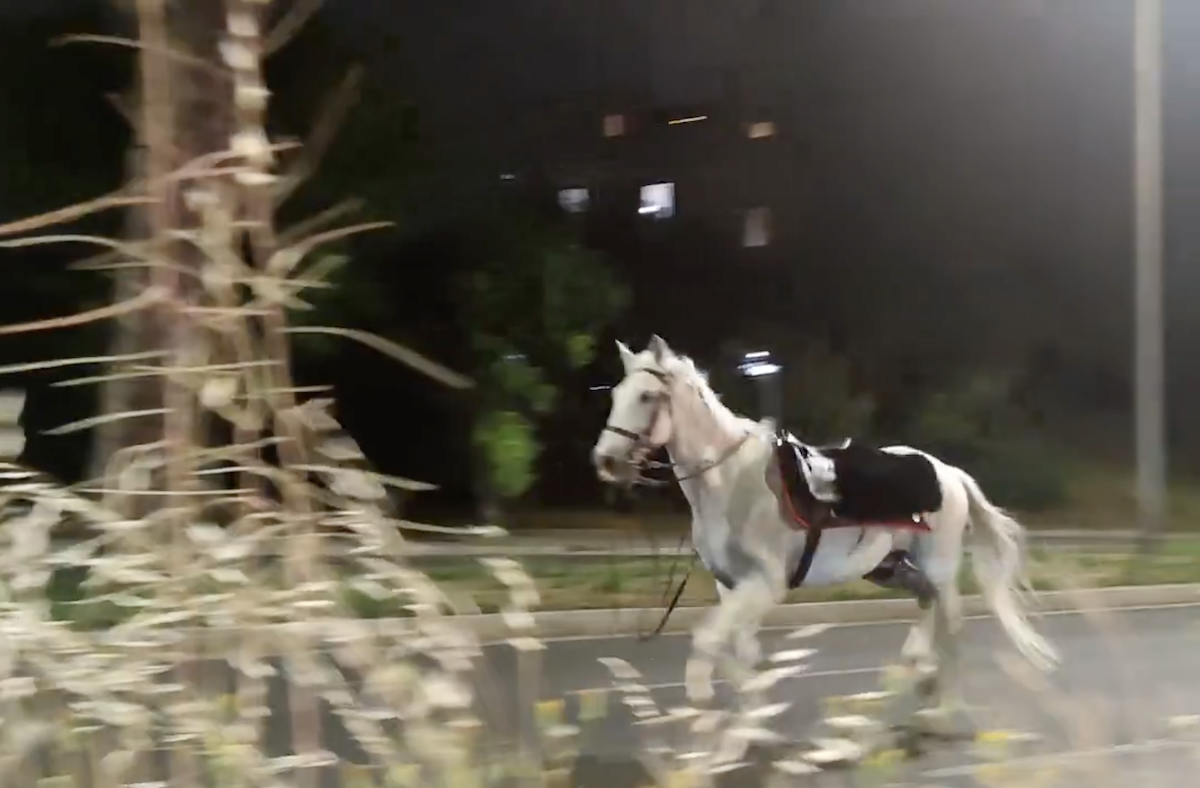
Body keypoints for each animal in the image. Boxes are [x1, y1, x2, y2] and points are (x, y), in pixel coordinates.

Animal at [590, 334, 1058, 730]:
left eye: (647, 396)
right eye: (615, 395)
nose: (605, 461)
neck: (732, 481)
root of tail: (948, 472)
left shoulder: (765, 584)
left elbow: (707, 642)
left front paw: (705, 701)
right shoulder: (733, 588)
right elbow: (738, 653)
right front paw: (751, 712)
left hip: (938, 566)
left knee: (951, 627)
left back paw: (944, 705)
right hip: (891, 568)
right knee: (928, 607)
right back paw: (921, 673)